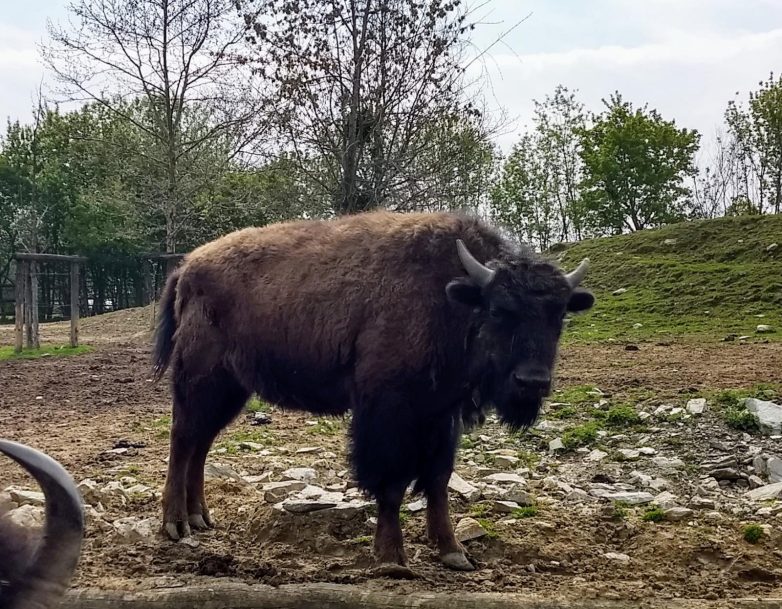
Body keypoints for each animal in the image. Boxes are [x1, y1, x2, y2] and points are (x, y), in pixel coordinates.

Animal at [152, 210, 594, 574]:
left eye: (559, 315)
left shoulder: (442, 416)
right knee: (183, 439)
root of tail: (188, 267)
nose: (532, 382)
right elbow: (392, 482)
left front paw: (453, 552)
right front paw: (392, 558)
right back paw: (176, 525)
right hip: (201, 382)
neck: (451, 298)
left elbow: (438, 481)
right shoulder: (389, 413)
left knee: (200, 444)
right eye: (499, 310)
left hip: (230, 390)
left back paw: (200, 518)